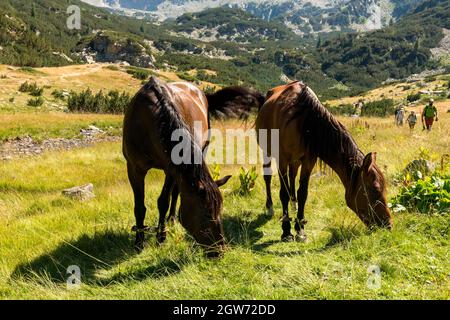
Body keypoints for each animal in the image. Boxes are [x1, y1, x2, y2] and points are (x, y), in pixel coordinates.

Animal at [124, 76, 232, 256]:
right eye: (206, 214)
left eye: (220, 210)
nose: (219, 251)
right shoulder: (134, 168)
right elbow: (139, 206)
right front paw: (139, 242)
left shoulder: (170, 169)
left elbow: (164, 201)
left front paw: (161, 237)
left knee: (175, 193)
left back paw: (172, 219)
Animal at [256, 80, 394, 242]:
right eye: (375, 190)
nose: (388, 224)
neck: (305, 122)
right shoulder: (281, 159)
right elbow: (282, 193)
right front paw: (286, 231)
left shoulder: (309, 160)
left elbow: (303, 192)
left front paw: (300, 229)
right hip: (267, 152)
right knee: (268, 178)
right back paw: (270, 208)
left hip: (295, 161)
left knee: (292, 177)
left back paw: (293, 204)